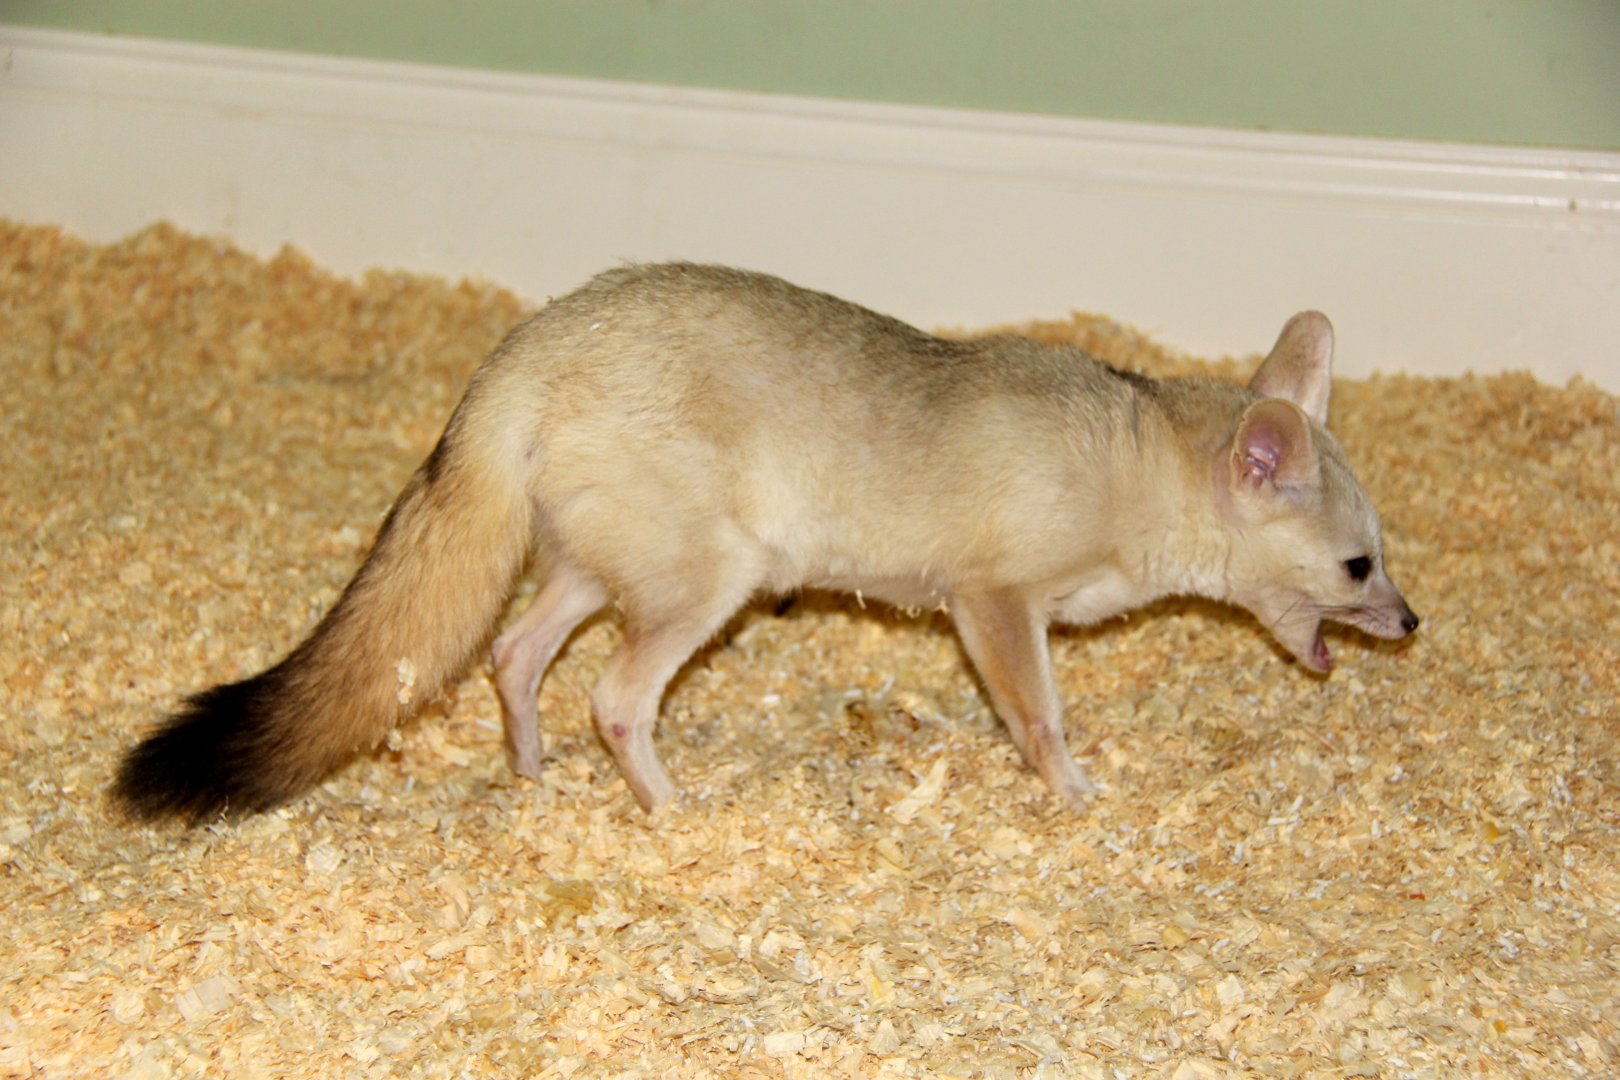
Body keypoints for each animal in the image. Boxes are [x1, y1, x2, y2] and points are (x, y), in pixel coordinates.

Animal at [113, 262, 1418, 823]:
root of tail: (522, 352)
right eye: (1360, 566)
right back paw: (668, 809)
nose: (1412, 621)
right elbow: (1039, 718)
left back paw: (532, 778)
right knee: (613, 699)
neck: (1130, 452)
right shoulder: (992, 603)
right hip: (707, 585)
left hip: (596, 570)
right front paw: (1071, 788)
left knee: (514, 660)